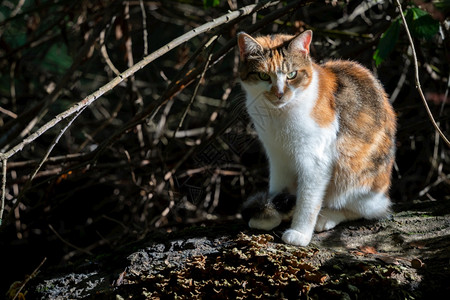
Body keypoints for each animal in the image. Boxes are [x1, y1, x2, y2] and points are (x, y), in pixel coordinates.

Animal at [237, 30, 396, 246]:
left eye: (292, 75)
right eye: (263, 75)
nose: (279, 94)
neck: (278, 115)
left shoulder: (315, 160)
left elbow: (308, 200)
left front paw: (300, 232)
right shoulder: (277, 156)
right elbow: (278, 187)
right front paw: (272, 214)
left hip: (353, 176)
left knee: (367, 210)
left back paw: (327, 216)